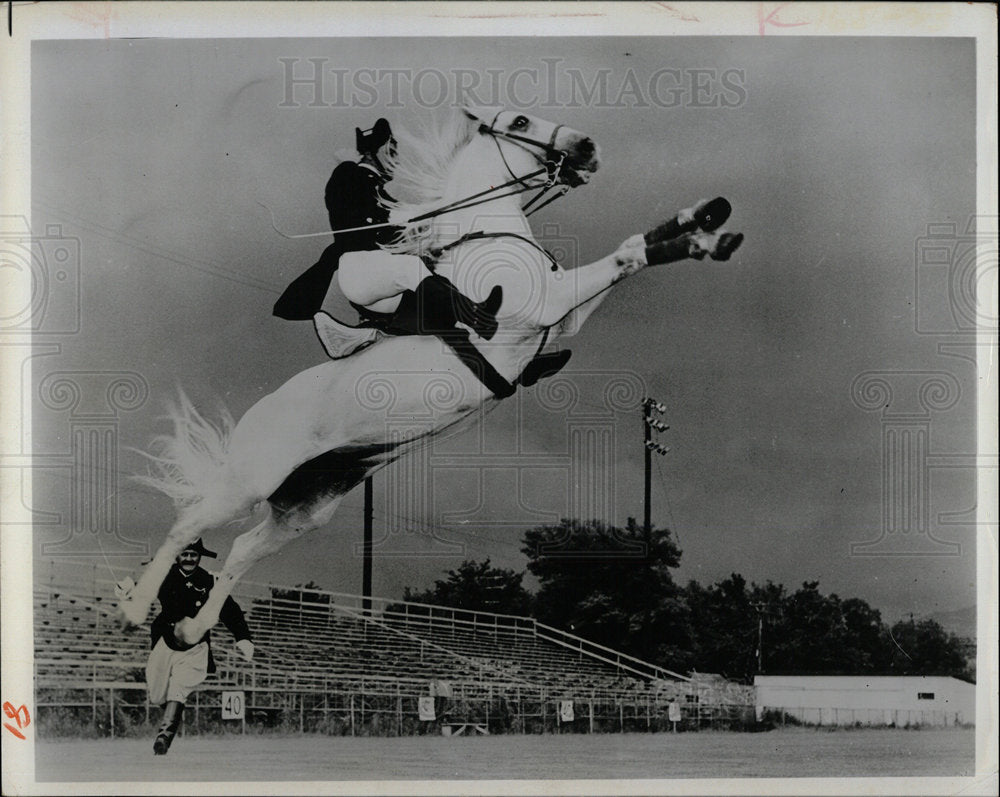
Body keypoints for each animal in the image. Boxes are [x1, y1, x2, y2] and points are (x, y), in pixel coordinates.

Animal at [119, 105, 744, 640]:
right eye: (520, 121)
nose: (588, 148)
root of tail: (262, 411)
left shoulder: (565, 318)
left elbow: (637, 247)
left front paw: (707, 224)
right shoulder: (548, 304)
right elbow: (626, 255)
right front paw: (707, 231)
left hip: (309, 502)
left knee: (245, 548)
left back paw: (194, 630)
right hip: (252, 478)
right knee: (189, 523)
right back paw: (133, 608)